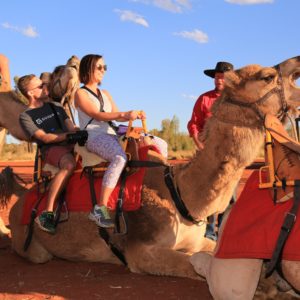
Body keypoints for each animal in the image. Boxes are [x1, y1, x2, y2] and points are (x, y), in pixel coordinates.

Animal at [0, 55, 298, 288]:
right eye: (267, 76)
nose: (295, 62)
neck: (179, 194)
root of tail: (22, 201)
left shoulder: (194, 241)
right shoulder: (141, 252)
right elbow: (197, 266)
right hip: (33, 247)